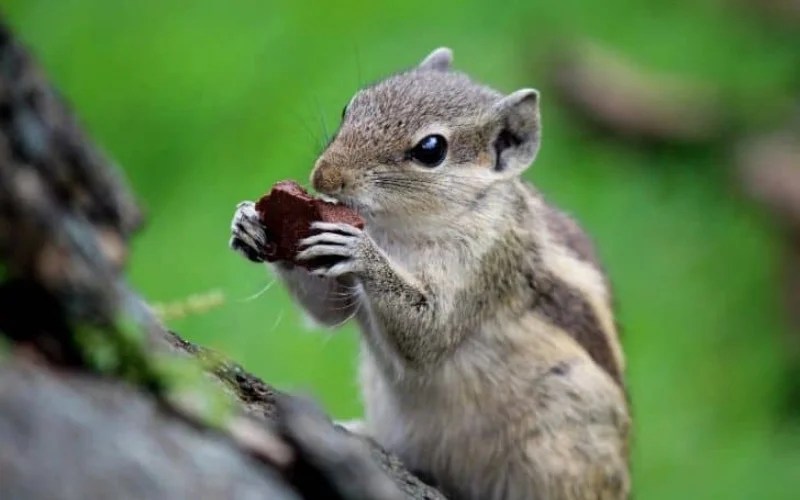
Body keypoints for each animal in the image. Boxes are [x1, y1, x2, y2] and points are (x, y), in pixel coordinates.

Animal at [229, 47, 631, 500]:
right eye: (351, 106)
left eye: (430, 149)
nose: (324, 176)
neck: (399, 231)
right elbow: (330, 311)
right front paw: (249, 223)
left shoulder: (486, 265)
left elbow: (428, 334)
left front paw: (361, 252)